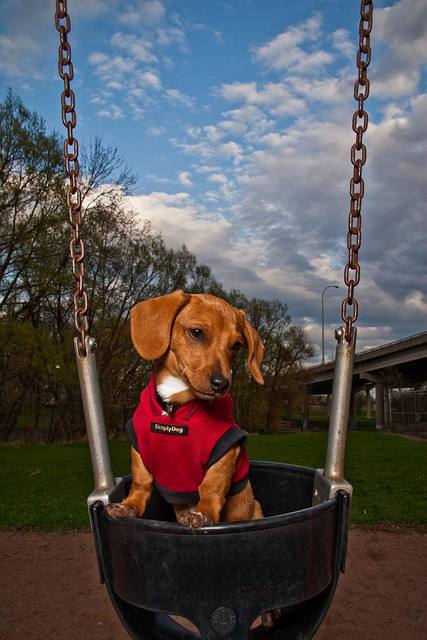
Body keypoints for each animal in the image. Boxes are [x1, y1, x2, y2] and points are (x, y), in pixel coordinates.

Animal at [108, 288, 266, 524]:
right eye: (197, 332)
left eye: (236, 346)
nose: (222, 384)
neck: (174, 405)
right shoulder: (139, 447)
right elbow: (140, 482)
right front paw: (129, 505)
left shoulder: (224, 450)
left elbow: (211, 487)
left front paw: (204, 512)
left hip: (256, 507)